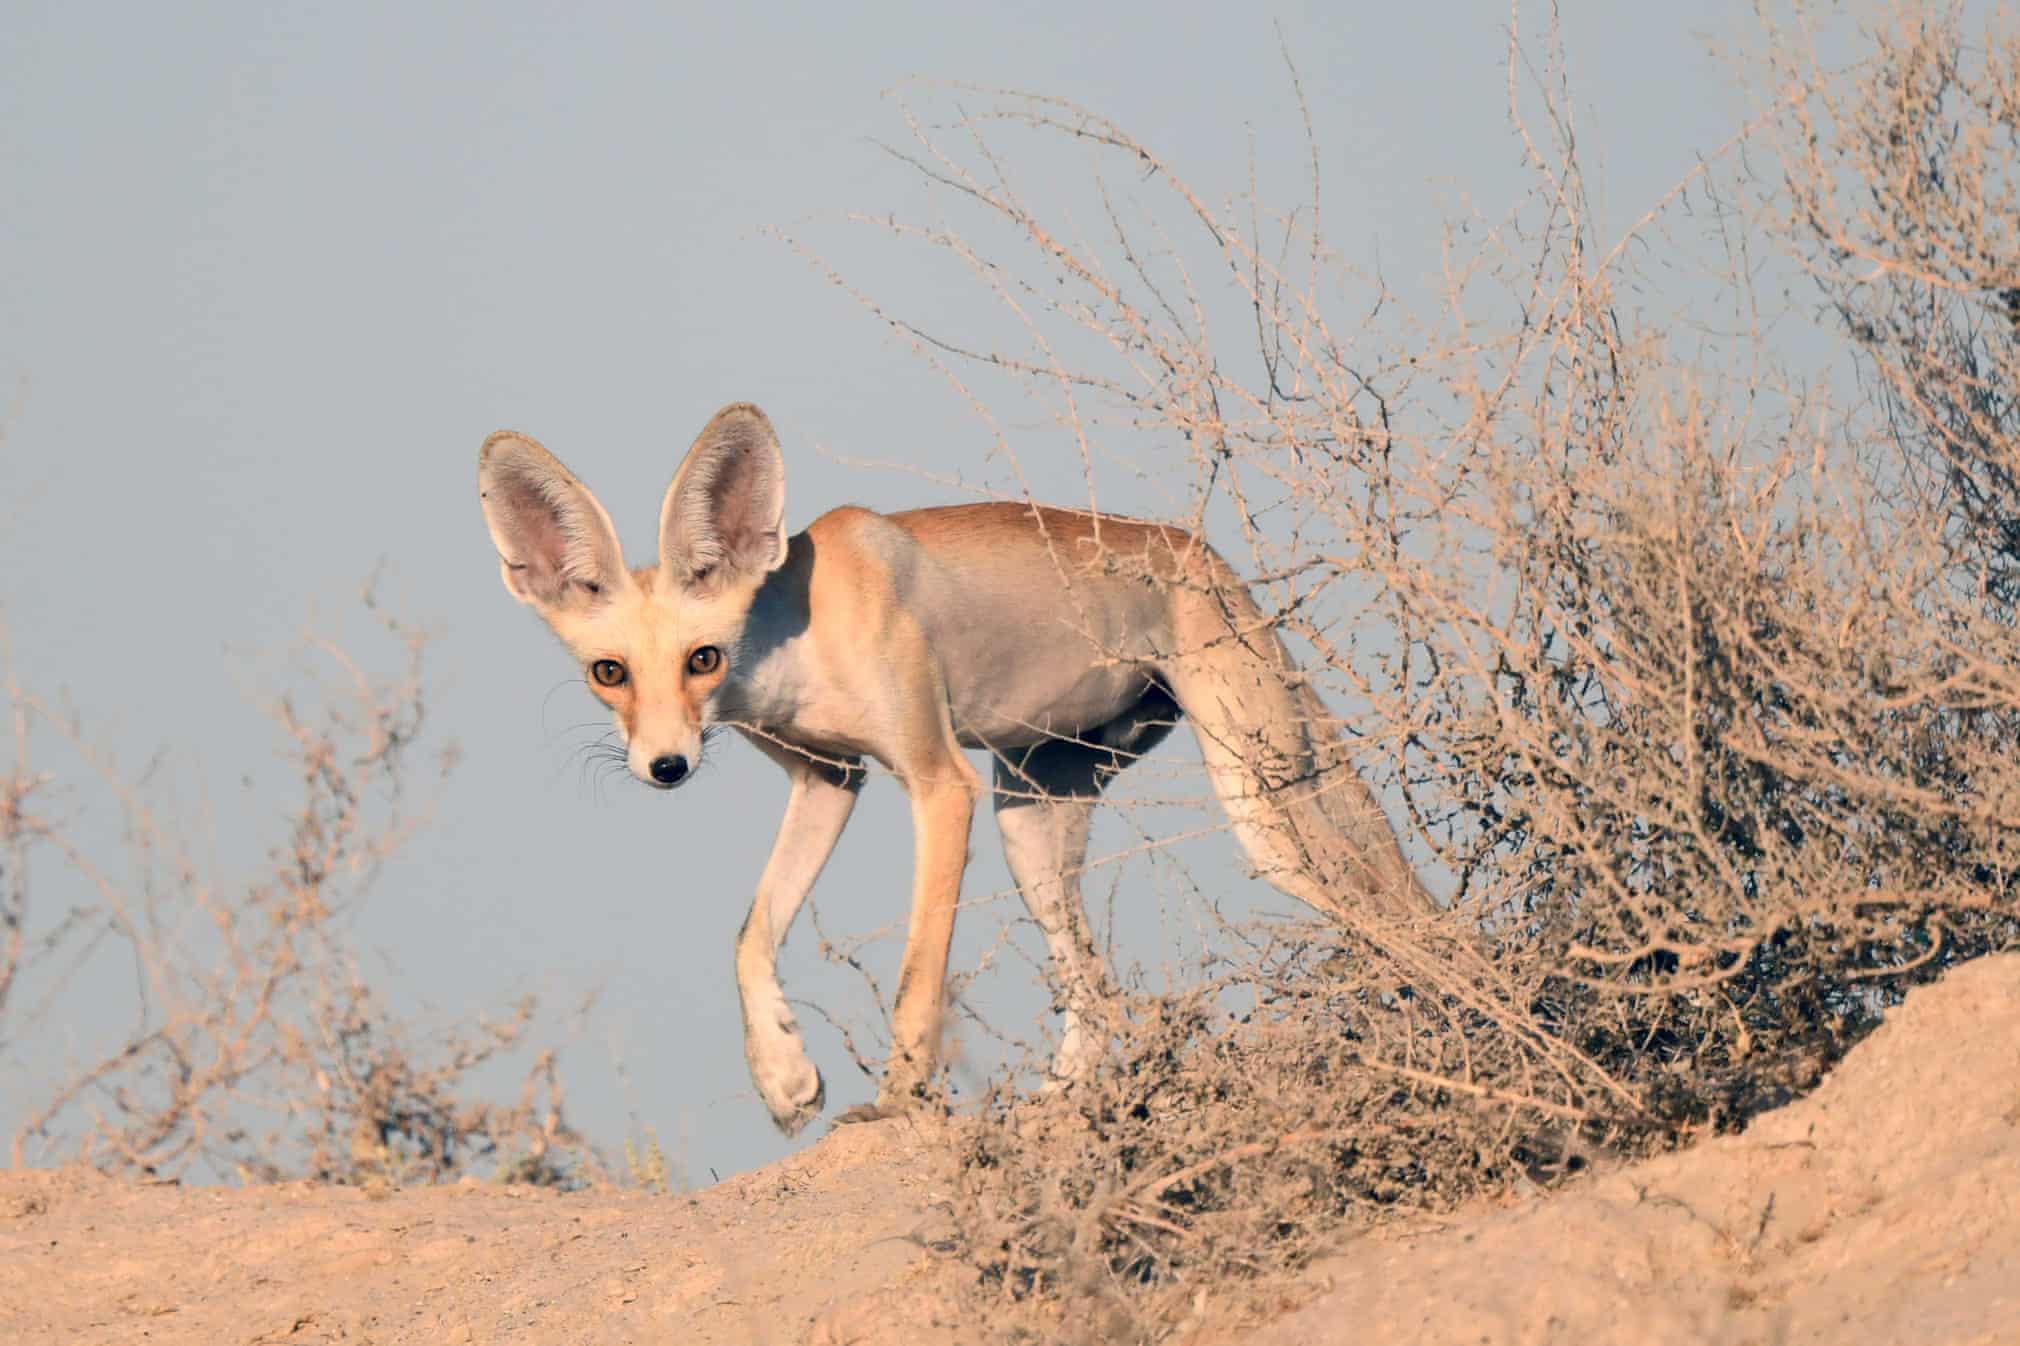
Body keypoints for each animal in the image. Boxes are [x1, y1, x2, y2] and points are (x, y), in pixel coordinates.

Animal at [478, 400, 1430, 1131]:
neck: (801, 637)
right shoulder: (829, 781)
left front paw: (898, 1100)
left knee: (1388, 921)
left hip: (1259, 806)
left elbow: (916, 976)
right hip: (1031, 827)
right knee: (1098, 995)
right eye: (610, 673)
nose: (666, 766)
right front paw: (783, 1076)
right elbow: (751, 934)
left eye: (702, 659)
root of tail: (1206, 553)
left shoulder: (939, 784)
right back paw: (1060, 1106)